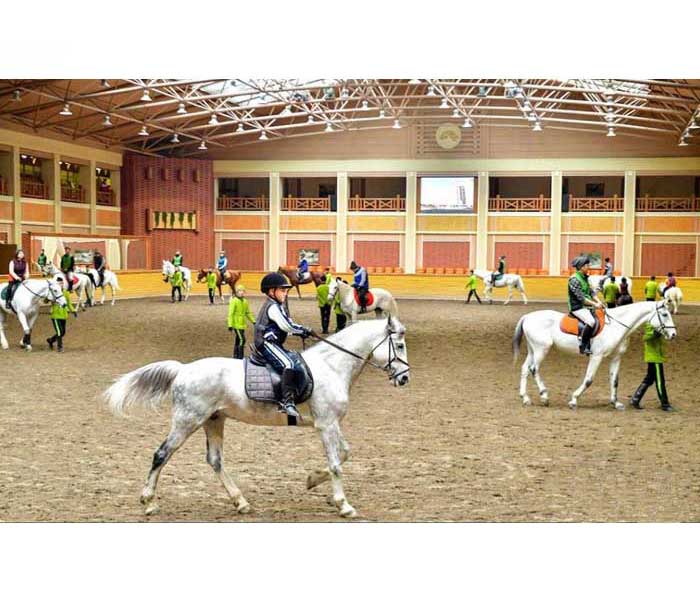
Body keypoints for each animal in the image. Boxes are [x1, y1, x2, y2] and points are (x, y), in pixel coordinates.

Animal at [102, 317, 410, 519]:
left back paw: (241, 502)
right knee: (161, 454)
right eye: (400, 345)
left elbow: (345, 453)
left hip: (214, 420)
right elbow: (336, 464)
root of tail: (183, 370)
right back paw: (149, 502)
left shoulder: (331, 424)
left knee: (215, 460)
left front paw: (312, 479)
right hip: (187, 420)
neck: (332, 366)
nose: (405, 379)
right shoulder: (326, 425)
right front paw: (344, 505)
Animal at [512, 298, 676, 410]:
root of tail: (527, 316)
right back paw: (544, 396)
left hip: (533, 349)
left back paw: (525, 398)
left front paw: (615, 403)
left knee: (525, 369)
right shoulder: (596, 356)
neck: (616, 325)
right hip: (542, 349)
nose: (673, 334)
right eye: (664, 314)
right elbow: (589, 379)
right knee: (533, 369)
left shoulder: (616, 357)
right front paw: (574, 400)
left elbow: (614, 381)